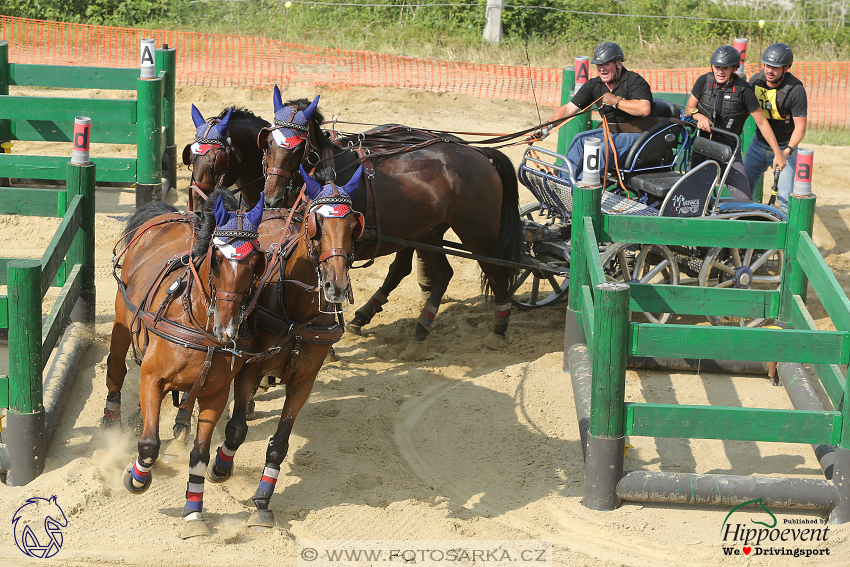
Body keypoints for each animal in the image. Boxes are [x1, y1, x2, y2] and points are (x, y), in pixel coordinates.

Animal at [105, 190, 266, 536]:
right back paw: (111, 422)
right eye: (216, 260)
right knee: (116, 369)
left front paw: (193, 512)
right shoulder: (152, 379)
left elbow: (200, 455)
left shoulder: (216, 394)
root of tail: (168, 215)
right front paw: (136, 479)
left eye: (255, 262)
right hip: (122, 318)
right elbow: (149, 444)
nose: (227, 328)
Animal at [206, 166, 364, 532]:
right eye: (315, 225)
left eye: (354, 226)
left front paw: (263, 500)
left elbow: (280, 443)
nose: (336, 285)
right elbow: (236, 429)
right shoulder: (249, 368)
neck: (296, 313)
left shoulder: (303, 381)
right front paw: (220, 466)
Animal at [258, 93, 524, 360]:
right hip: (428, 233)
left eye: (298, 146)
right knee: (441, 275)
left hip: (478, 233)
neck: (329, 176)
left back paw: (499, 329)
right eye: (268, 142)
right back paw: (418, 333)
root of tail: (480, 153)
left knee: (496, 272)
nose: (272, 198)